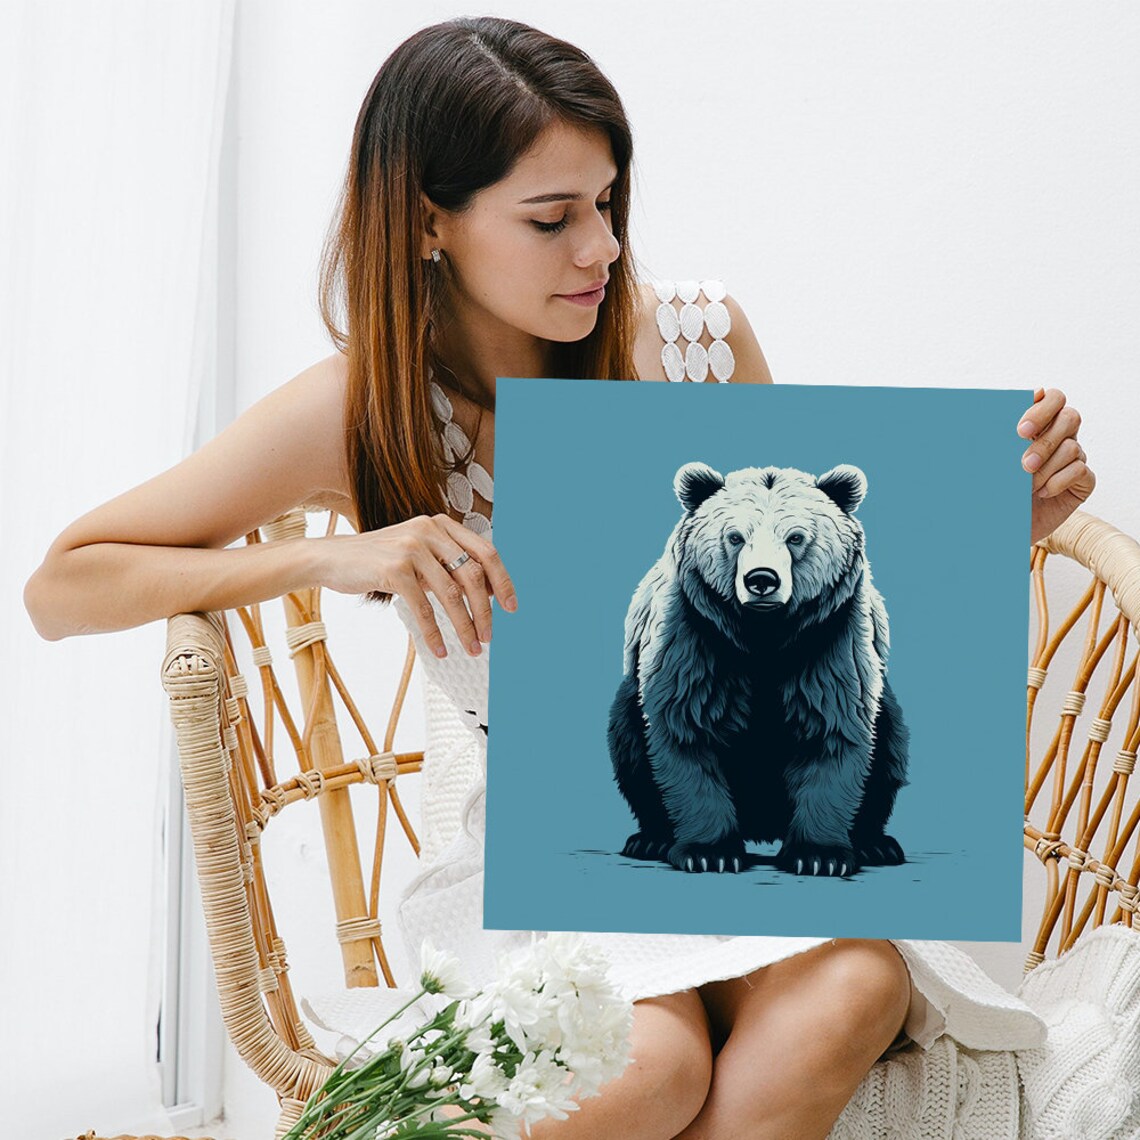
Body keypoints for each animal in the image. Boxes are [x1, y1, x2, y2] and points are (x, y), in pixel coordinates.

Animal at [607, 461, 909, 876]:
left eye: (796, 537)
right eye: (735, 536)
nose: (761, 579)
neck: (763, 637)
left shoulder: (829, 644)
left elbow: (831, 733)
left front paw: (820, 855)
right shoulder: (695, 640)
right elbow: (687, 730)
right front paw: (709, 851)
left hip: (886, 705)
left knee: (889, 751)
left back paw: (875, 844)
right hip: (629, 700)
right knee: (630, 751)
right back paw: (650, 839)